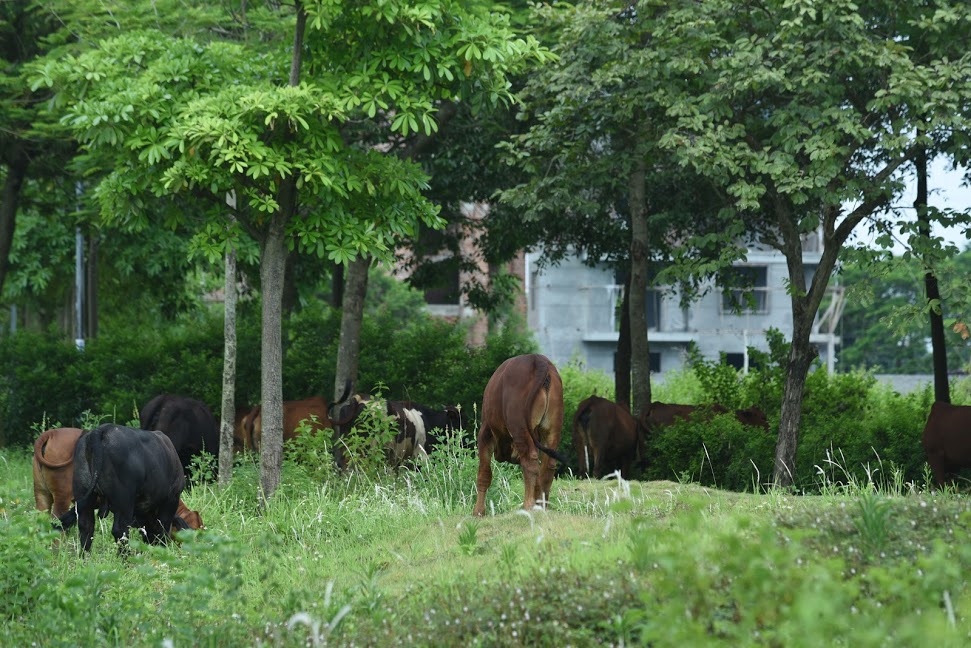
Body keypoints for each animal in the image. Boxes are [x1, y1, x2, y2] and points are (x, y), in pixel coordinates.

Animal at [472, 354, 564, 516]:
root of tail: (538, 360)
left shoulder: (485, 432)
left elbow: (484, 473)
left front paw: (478, 512)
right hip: (552, 429)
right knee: (547, 465)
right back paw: (542, 505)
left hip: (518, 427)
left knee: (530, 461)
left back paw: (528, 505)